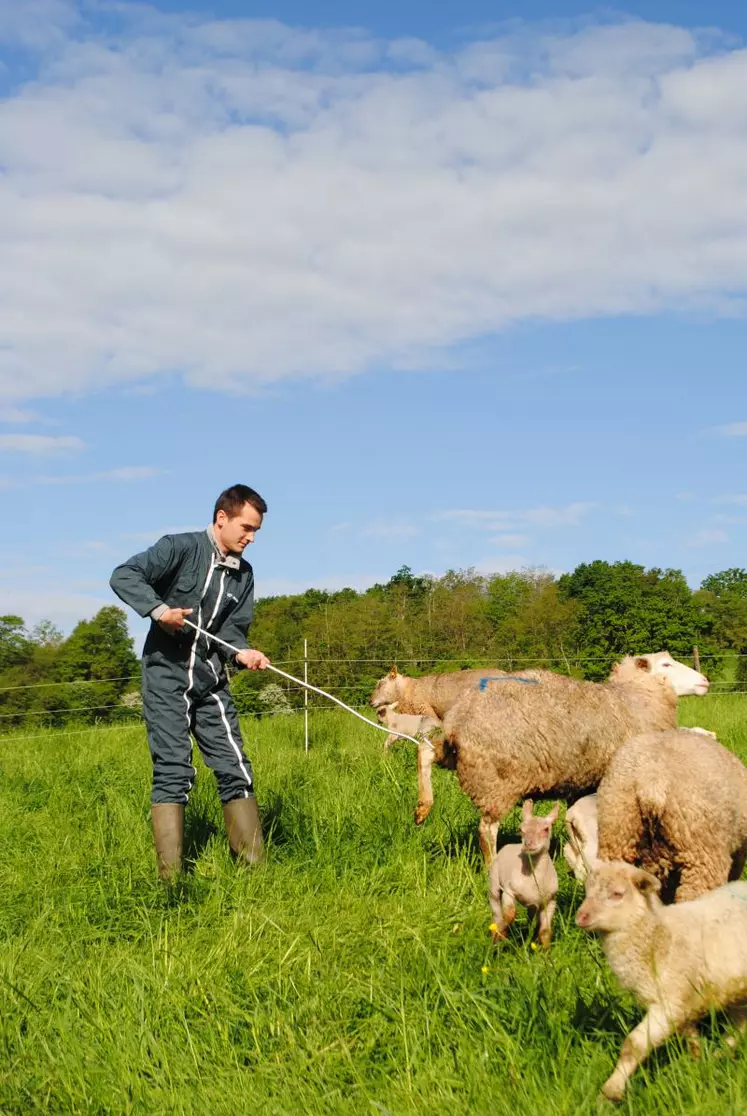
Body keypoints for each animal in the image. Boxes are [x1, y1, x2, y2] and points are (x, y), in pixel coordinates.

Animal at [431, 651, 705, 866]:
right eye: (666, 665)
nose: (704, 681)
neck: (635, 697)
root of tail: (457, 717)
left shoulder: (580, 782)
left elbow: (575, 822)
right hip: (495, 781)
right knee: (487, 831)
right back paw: (492, 866)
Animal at [486, 799, 556, 946]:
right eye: (521, 830)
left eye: (546, 829)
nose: (528, 844)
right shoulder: (509, 891)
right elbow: (509, 915)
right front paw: (501, 933)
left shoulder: (550, 900)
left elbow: (546, 931)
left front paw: (545, 951)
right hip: (494, 882)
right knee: (496, 909)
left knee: (532, 916)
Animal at [576, 857, 747, 1102]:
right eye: (587, 890)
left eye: (617, 894)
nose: (580, 916)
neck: (658, 937)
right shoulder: (683, 1005)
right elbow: (691, 1037)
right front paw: (696, 1063)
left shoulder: (668, 1005)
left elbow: (633, 1045)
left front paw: (610, 1091)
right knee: (740, 1026)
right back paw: (720, 1052)